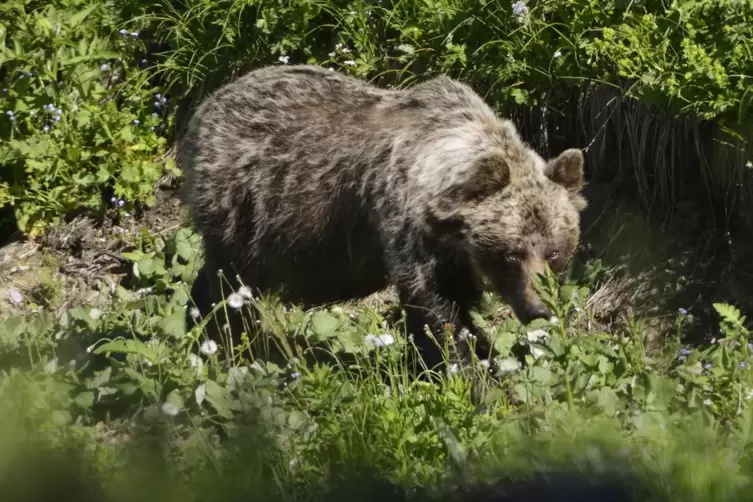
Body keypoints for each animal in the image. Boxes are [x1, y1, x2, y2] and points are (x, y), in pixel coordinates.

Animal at [178, 62, 588, 370]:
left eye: (554, 251)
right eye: (512, 253)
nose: (540, 309)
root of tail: (206, 105)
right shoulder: (407, 225)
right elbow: (436, 308)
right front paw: (468, 371)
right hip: (246, 204)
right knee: (229, 283)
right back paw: (220, 342)